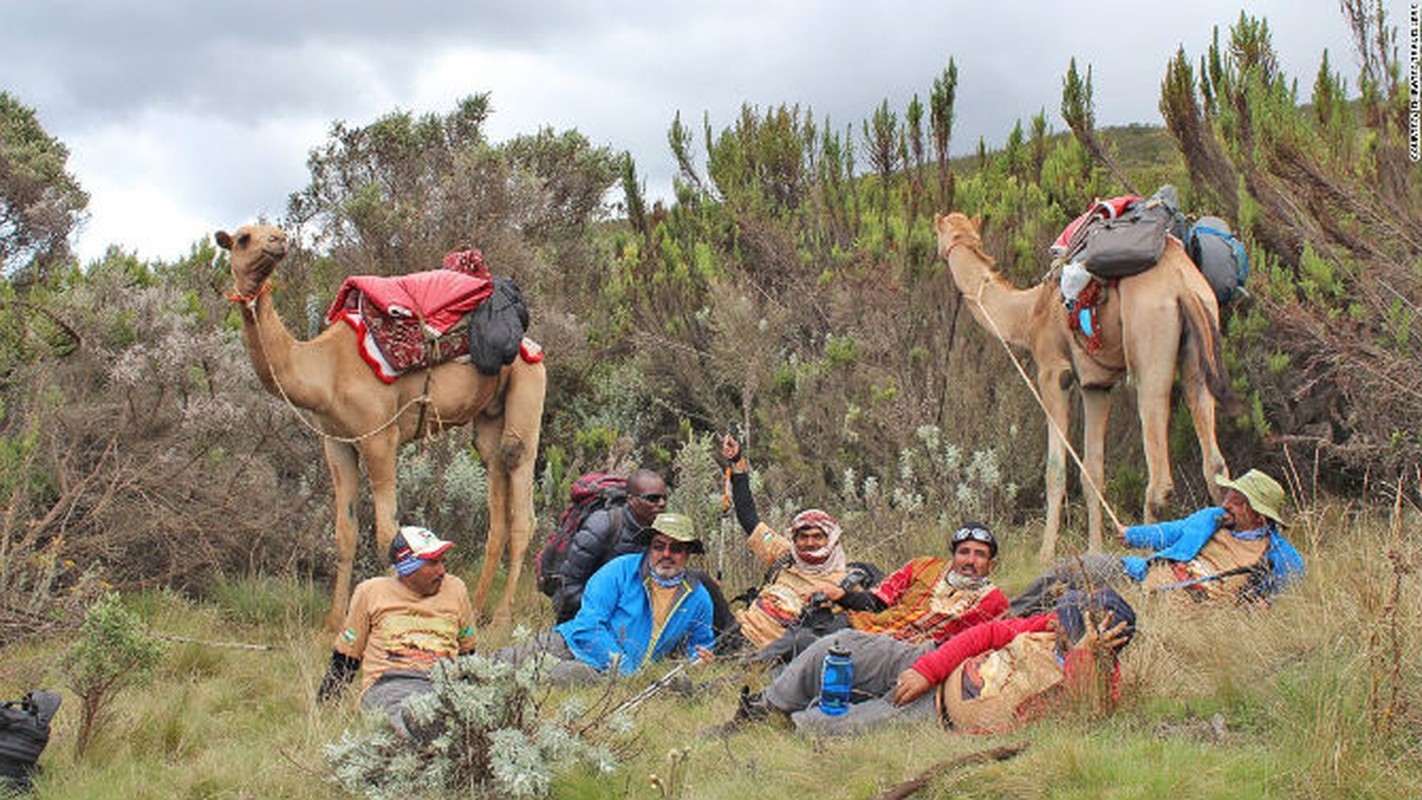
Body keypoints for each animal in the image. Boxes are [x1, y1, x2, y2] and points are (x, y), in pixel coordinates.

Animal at [214, 221, 543, 628]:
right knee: (497, 499)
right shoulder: (337, 442)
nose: (278, 241)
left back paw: (500, 616)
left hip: (528, 386)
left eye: (272, 231)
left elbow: (388, 533)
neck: (324, 369)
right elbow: (345, 533)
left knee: (522, 498)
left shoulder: (380, 439)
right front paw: (333, 622)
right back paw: (477, 608)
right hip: (489, 416)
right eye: (243, 239)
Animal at [932, 213, 1234, 562]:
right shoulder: (1096, 385)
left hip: (1151, 346)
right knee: (1215, 465)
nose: (941, 252)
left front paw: (1045, 554)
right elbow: (1093, 471)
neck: (1028, 313)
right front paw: (1094, 550)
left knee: (1160, 480)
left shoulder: (1053, 372)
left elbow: (1056, 470)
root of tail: (1184, 286)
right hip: (1200, 346)